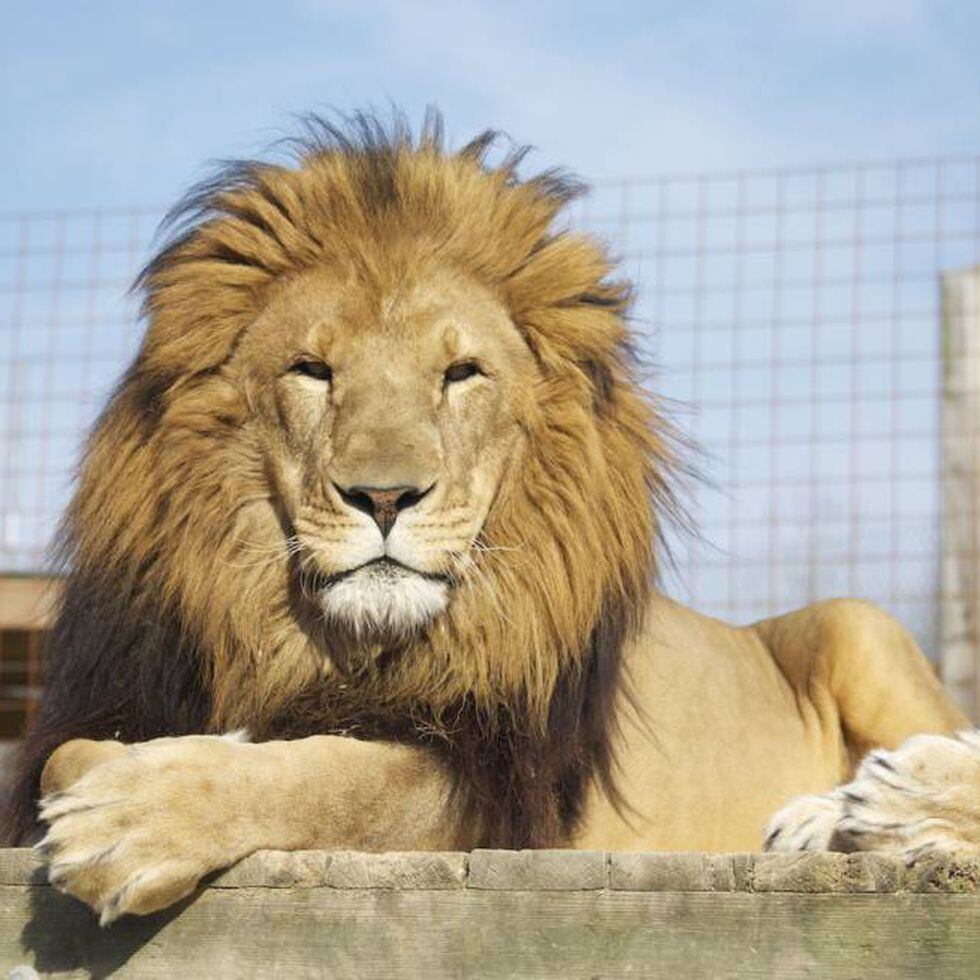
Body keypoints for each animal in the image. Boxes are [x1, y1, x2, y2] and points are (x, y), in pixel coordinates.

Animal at [3, 113, 976, 928]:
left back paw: (883, 803)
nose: (384, 497)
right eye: (313, 370)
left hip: (860, 625)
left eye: (460, 374)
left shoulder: (493, 781)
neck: (337, 647)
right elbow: (64, 758)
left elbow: (336, 779)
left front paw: (132, 817)